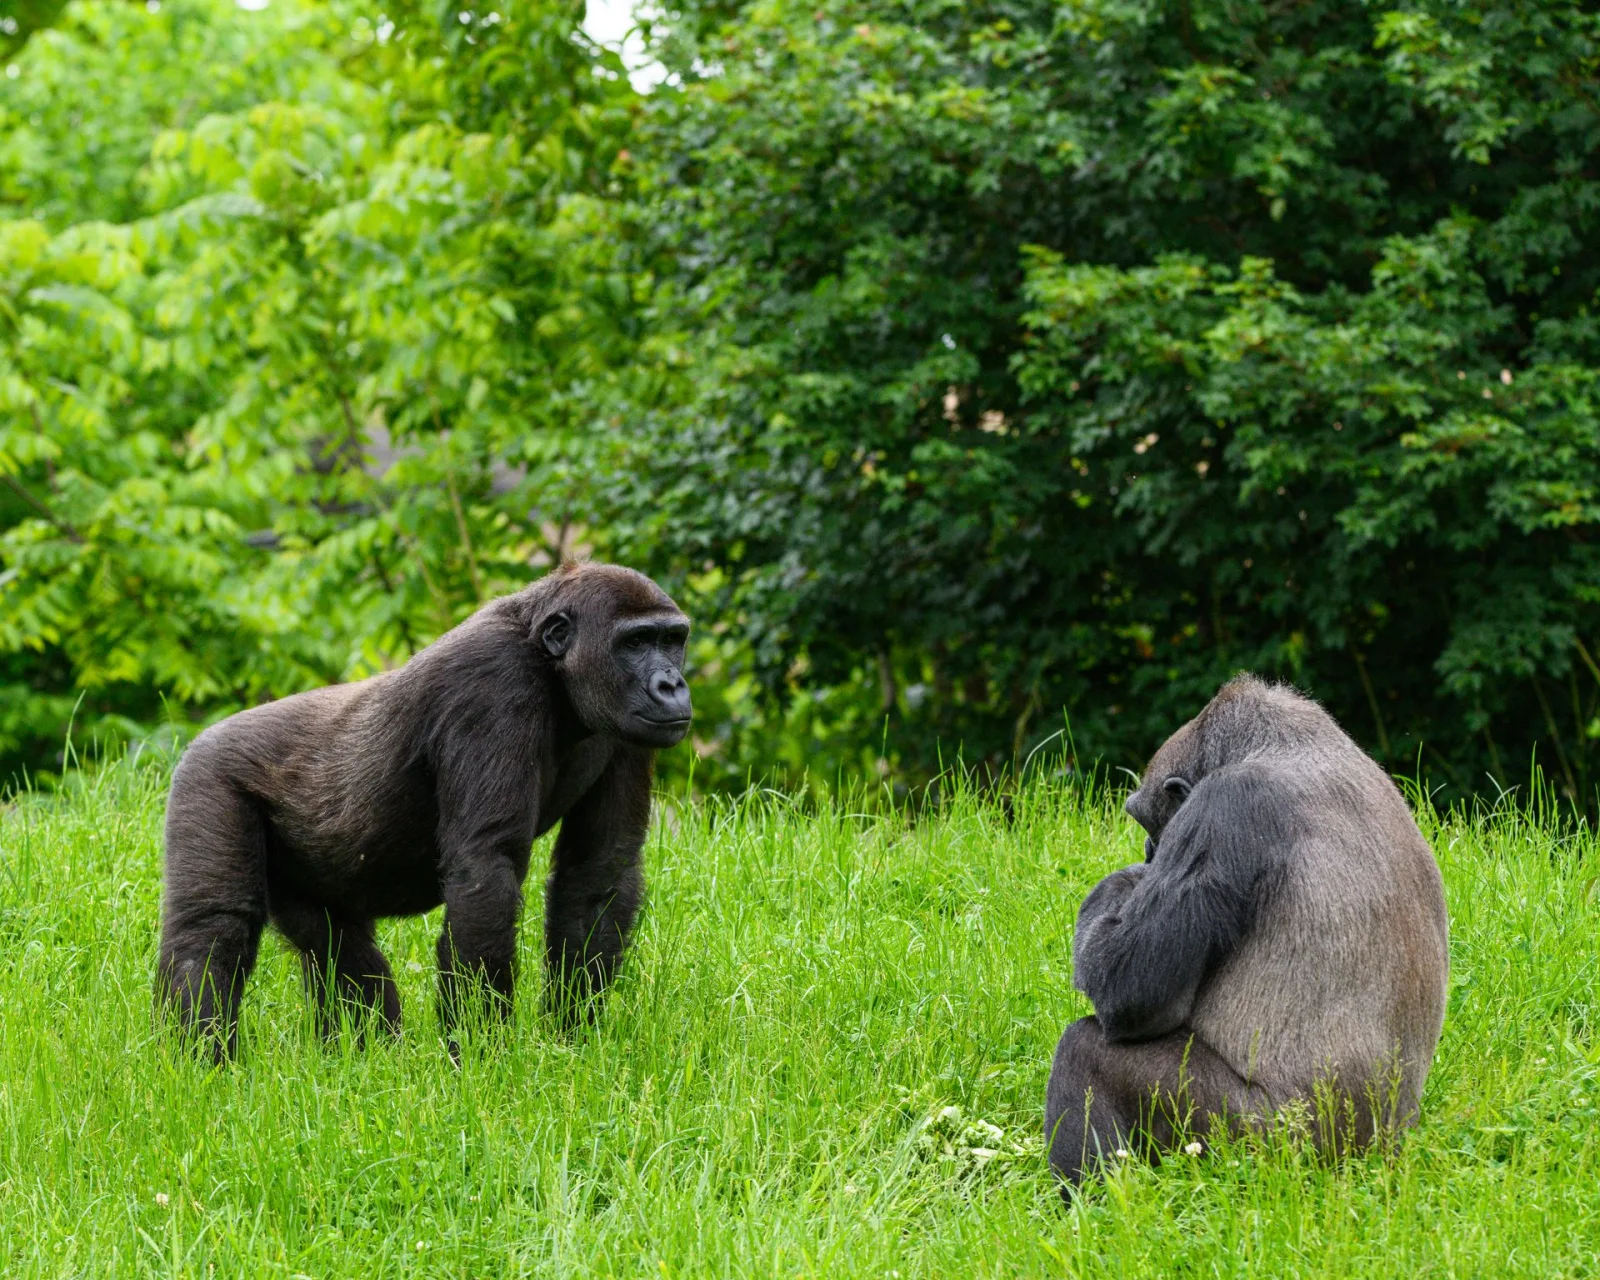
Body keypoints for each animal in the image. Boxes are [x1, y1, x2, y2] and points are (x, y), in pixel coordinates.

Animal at [156, 562, 692, 1060]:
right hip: (207, 776)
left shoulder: (628, 732)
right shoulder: (493, 683)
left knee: (337, 946)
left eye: (672, 640)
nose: (673, 685)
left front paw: (571, 1040)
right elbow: (486, 869)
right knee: (213, 929)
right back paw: (201, 1065)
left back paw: (367, 1059)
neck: (551, 666)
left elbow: (599, 871)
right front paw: (482, 1057)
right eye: (636, 642)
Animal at [1044, 674, 1449, 1193]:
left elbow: (1130, 992)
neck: (1292, 746)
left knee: (1086, 1050)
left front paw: (1122, 884)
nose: (1151, 849)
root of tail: (1376, 1153)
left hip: (1266, 1145)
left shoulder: (1226, 804)